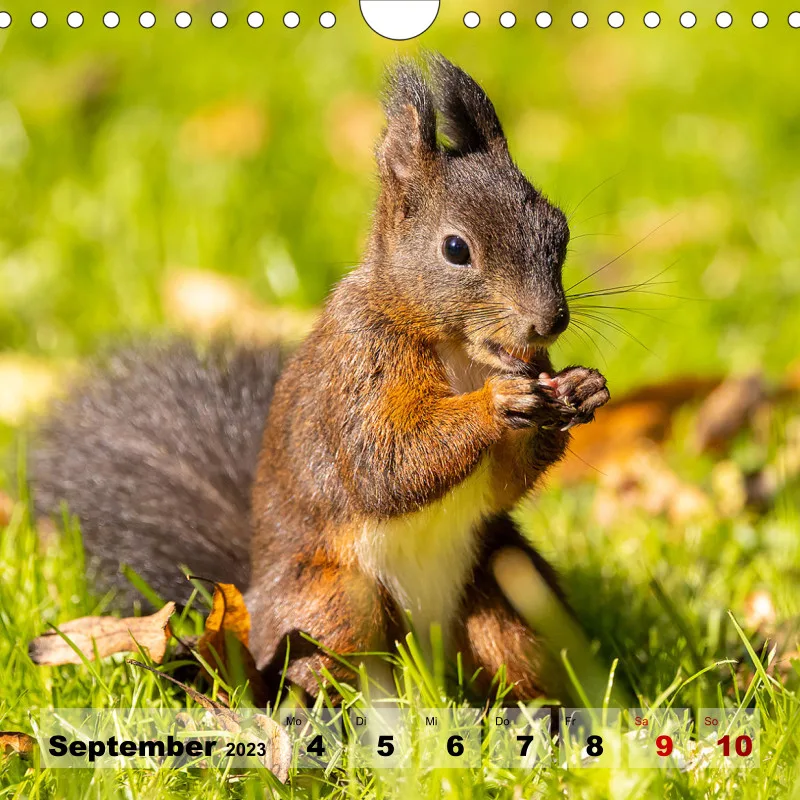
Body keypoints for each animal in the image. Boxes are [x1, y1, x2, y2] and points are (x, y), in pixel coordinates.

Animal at [31, 54, 609, 702]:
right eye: (456, 249)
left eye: (559, 230)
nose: (549, 321)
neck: (458, 348)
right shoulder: (358, 366)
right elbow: (384, 462)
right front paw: (495, 403)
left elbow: (499, 485)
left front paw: (583, 388)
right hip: (332, 604)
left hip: (506, 586)